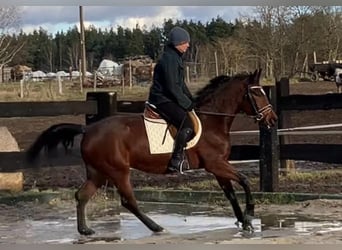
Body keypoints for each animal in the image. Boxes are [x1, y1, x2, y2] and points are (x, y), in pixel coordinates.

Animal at [26, 69, 278, 236]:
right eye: (257, 94)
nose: (273, 120)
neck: (212, 121)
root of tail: (88, 128)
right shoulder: (215, 164)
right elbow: (244, 180)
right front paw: (250, 215)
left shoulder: (217, 167)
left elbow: (230, 193)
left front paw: (244, 221)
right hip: (118, 171)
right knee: (128, 201)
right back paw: (156, 227)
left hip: (98, 172)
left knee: (82, 195)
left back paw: (85, 230)